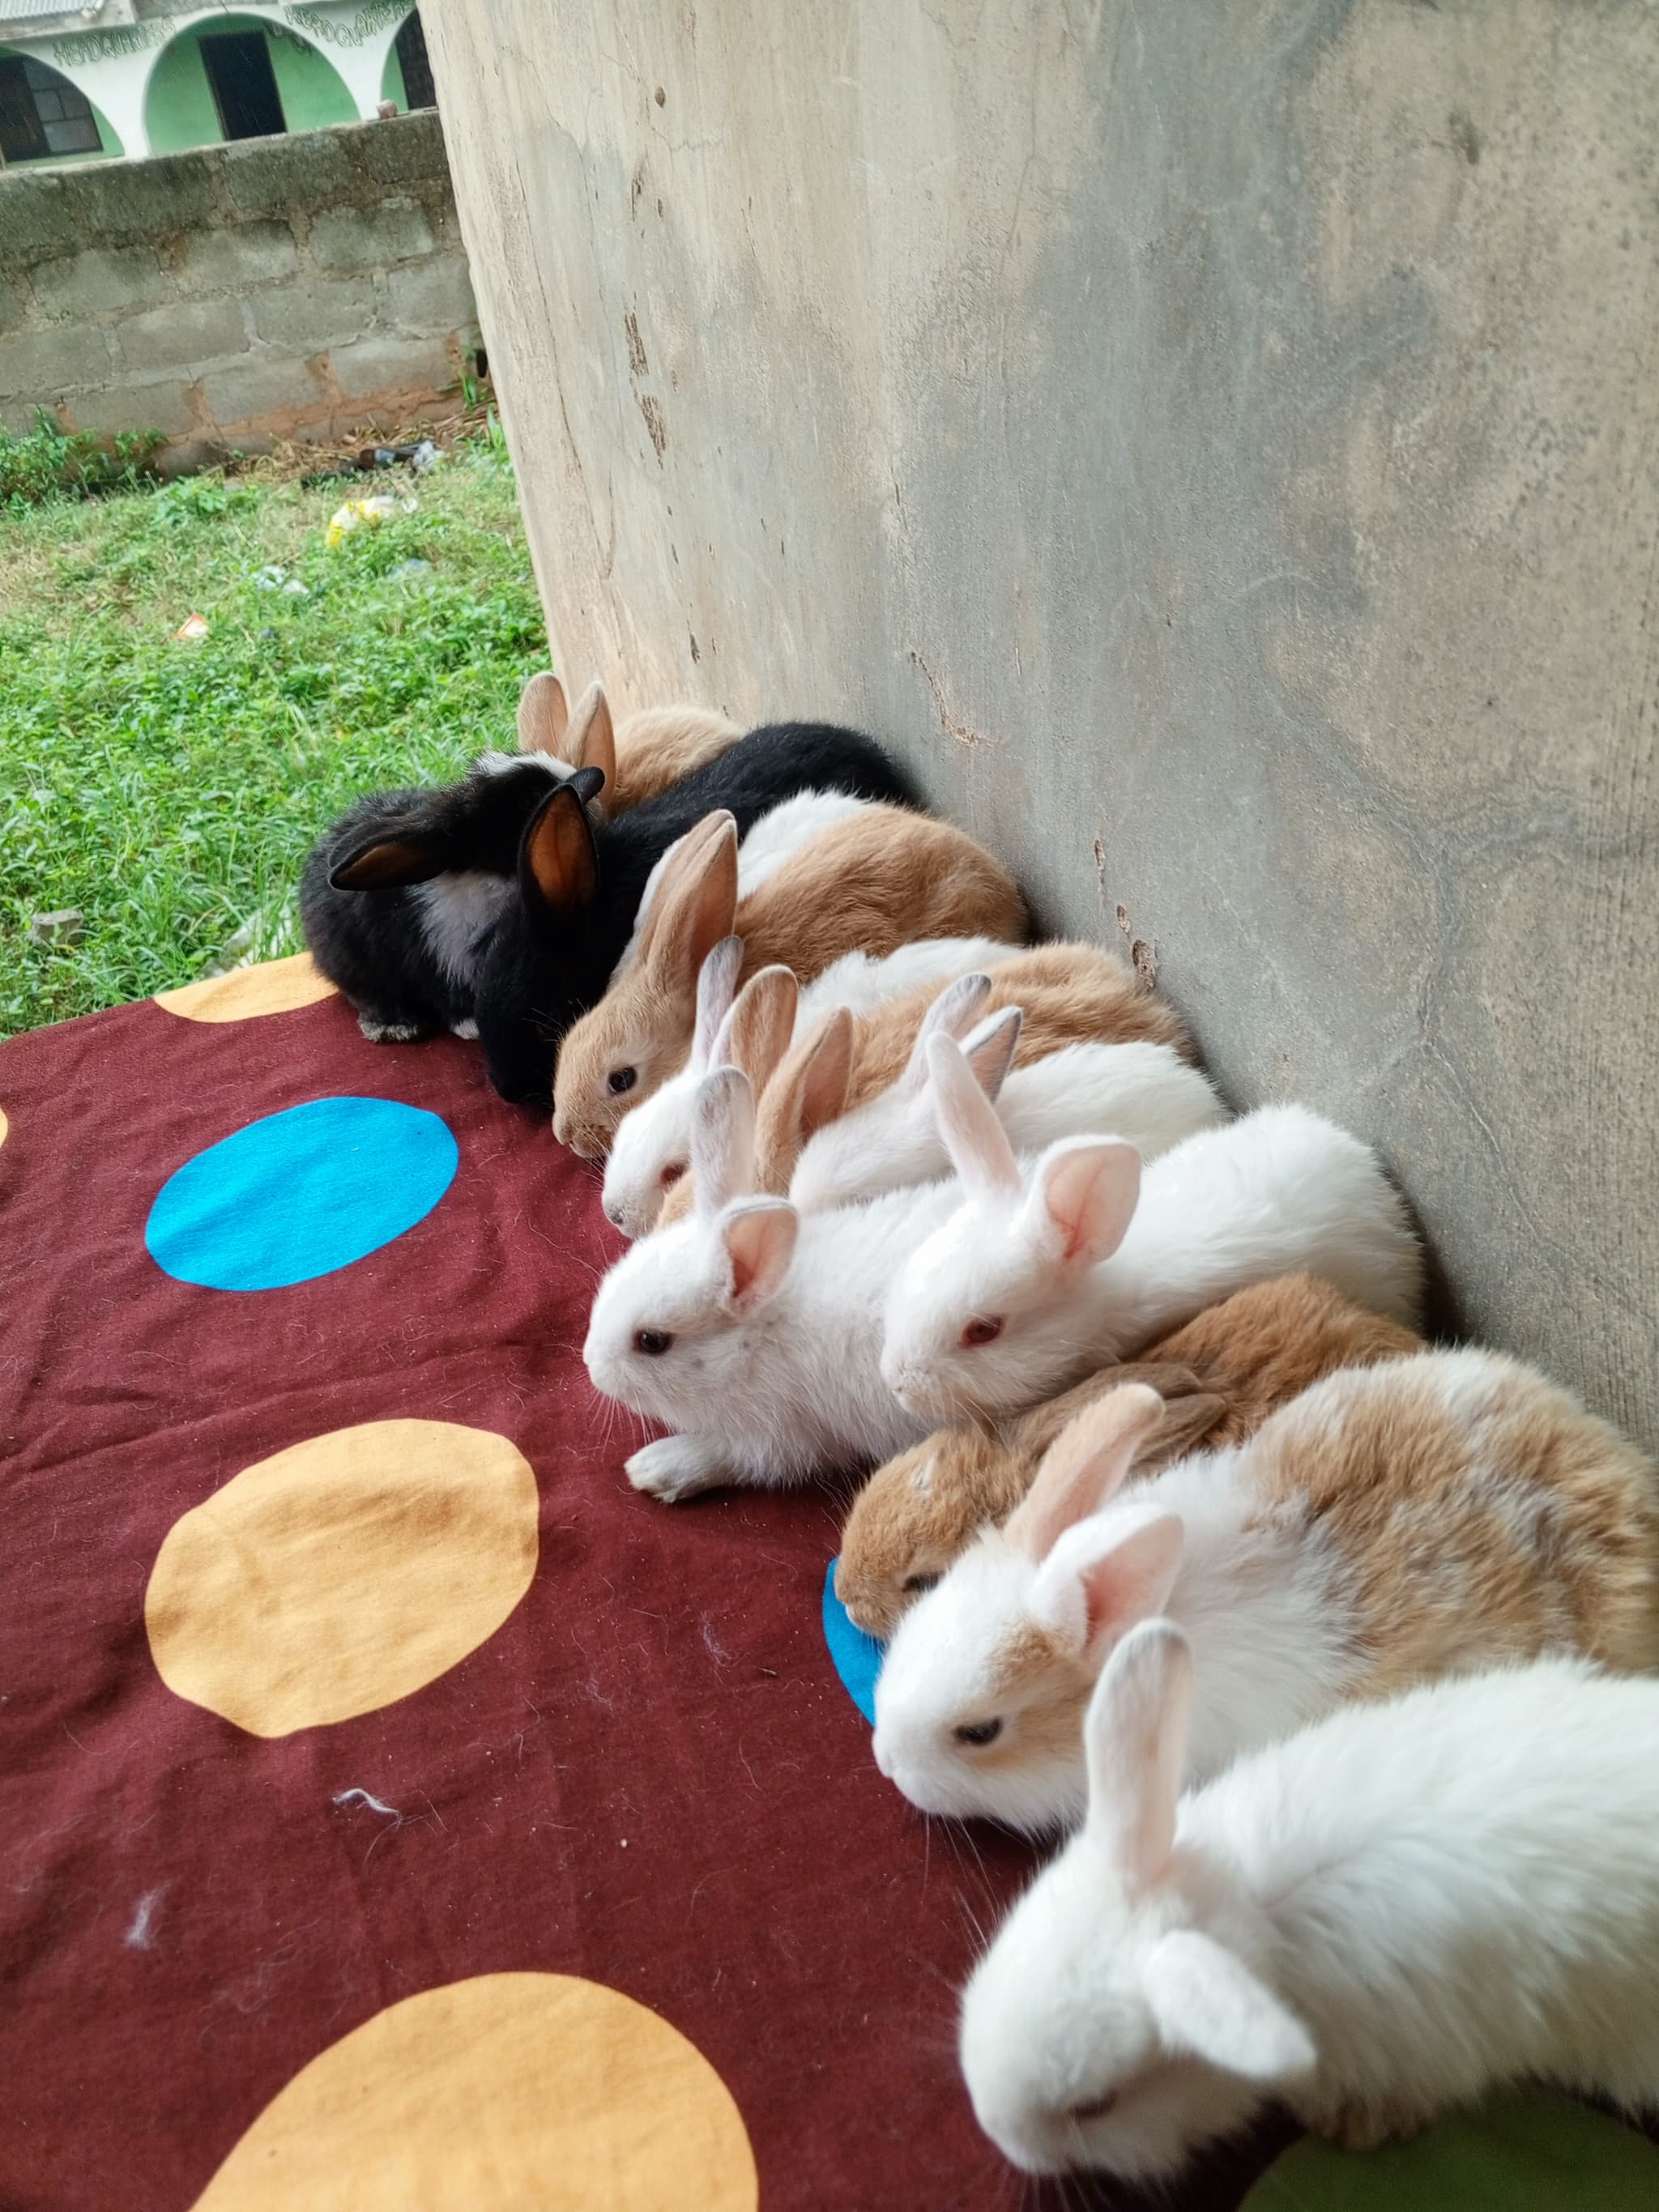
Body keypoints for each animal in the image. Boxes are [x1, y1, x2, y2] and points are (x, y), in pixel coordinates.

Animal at [582, 1065, 962, 1503]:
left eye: (652, 1341)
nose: (591, 1365)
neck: (757, 1340)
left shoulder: (782, 1438)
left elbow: (729, 1455)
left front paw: (651, 1469)